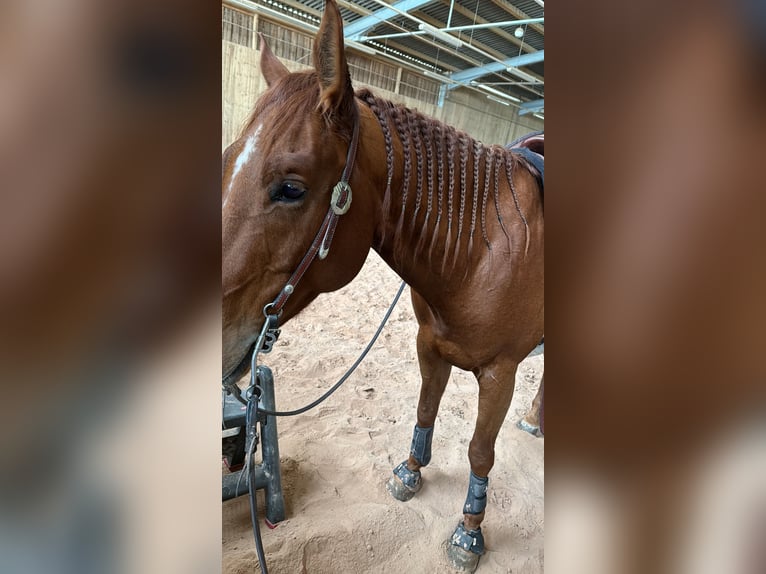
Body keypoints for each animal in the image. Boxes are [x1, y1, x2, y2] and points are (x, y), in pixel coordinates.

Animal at [222, 1, 544, 572]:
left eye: (291, 188)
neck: (478, 254)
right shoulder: (430, 345)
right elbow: (424, 410)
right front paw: (410, 471)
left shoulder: (499, 373)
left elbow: (480, 451)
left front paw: (469, 531)